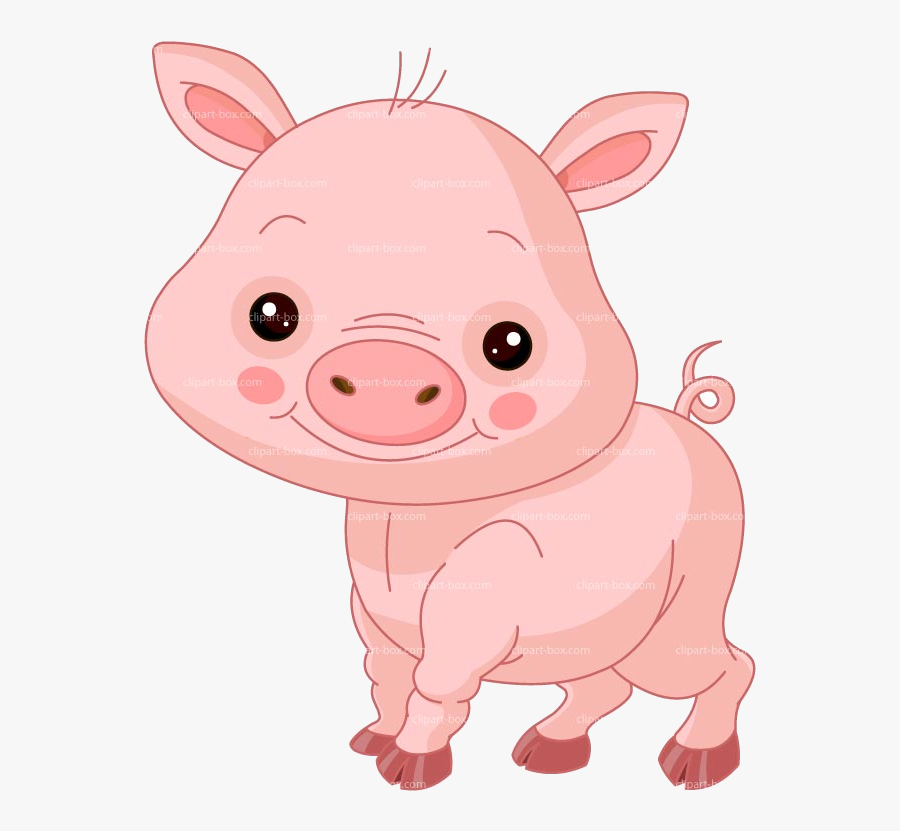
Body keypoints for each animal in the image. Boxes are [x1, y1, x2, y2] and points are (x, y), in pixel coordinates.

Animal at [147, 42, 754, 791]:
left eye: (510, 344)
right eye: (270, 314)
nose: (387, 368)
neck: (402, 522)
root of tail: (690, 420)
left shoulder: (482, 598)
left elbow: (436, 685)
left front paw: (407, 770)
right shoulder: (370, 608)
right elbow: (385, 672)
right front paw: (370, 742)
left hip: (690, 596)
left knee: (719, 667)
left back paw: (696, 765)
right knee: (601, 682)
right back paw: (548, 754)